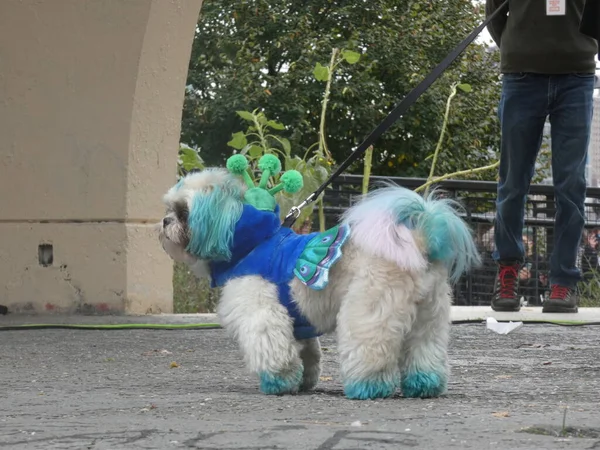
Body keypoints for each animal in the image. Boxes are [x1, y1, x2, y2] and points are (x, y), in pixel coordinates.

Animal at [158, 159, 478, 400]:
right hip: (429, 319)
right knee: (424, 353)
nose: (164, 221)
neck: (254, 242)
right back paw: (424, 385)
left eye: (183, 212)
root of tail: (420, 241)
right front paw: (303, 381)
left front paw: (277, 383)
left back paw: (367, 387)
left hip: (368, 312)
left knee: (372, 353)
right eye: (170, 209)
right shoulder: (298, 321)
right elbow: (306, 353)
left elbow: (274, 350)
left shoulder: (261, 313)